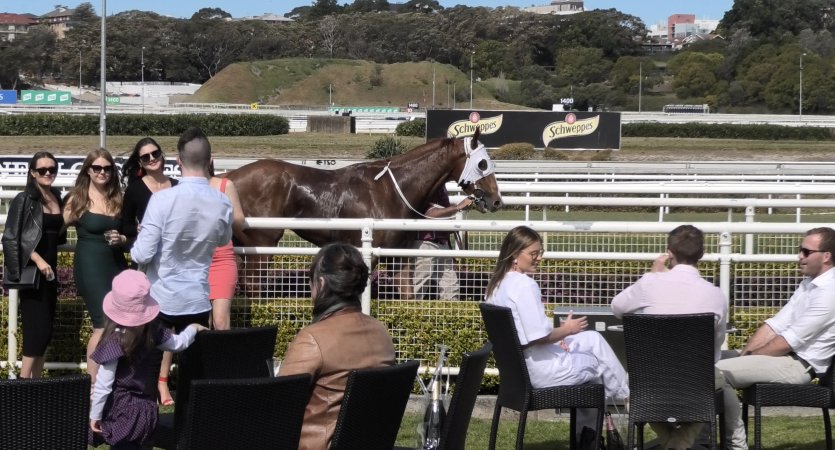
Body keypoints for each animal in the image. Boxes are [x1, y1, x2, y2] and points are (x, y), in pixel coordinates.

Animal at [222, 126, 506, 296]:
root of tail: (230, 177)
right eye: (483, 163)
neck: (392, 189)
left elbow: (408, 295)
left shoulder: (399, 254)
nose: (496, 201)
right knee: (253, 284)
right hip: (263, 242)